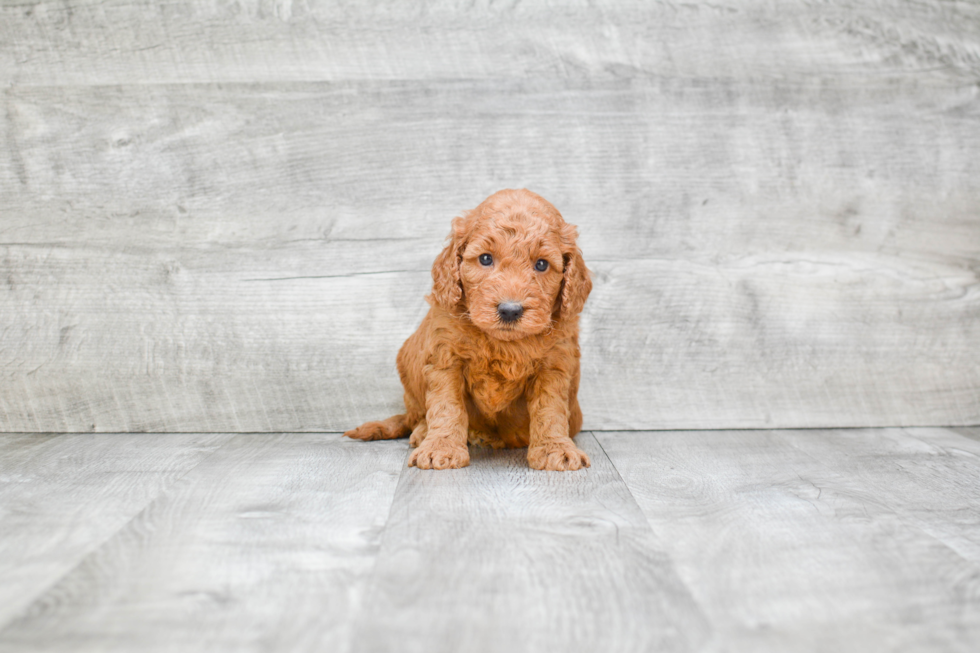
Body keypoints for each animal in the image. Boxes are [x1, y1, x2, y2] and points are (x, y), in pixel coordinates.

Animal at [342, 188, 588, 468]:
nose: (510, 310)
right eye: (485, 259)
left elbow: (550, 409)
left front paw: (555, 449)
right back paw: (425, 432)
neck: (503, 344)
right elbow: (447, 407)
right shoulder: (445, 357)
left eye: (542, 264)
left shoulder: (554, 364)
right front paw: (440, 448)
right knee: (417, 416)